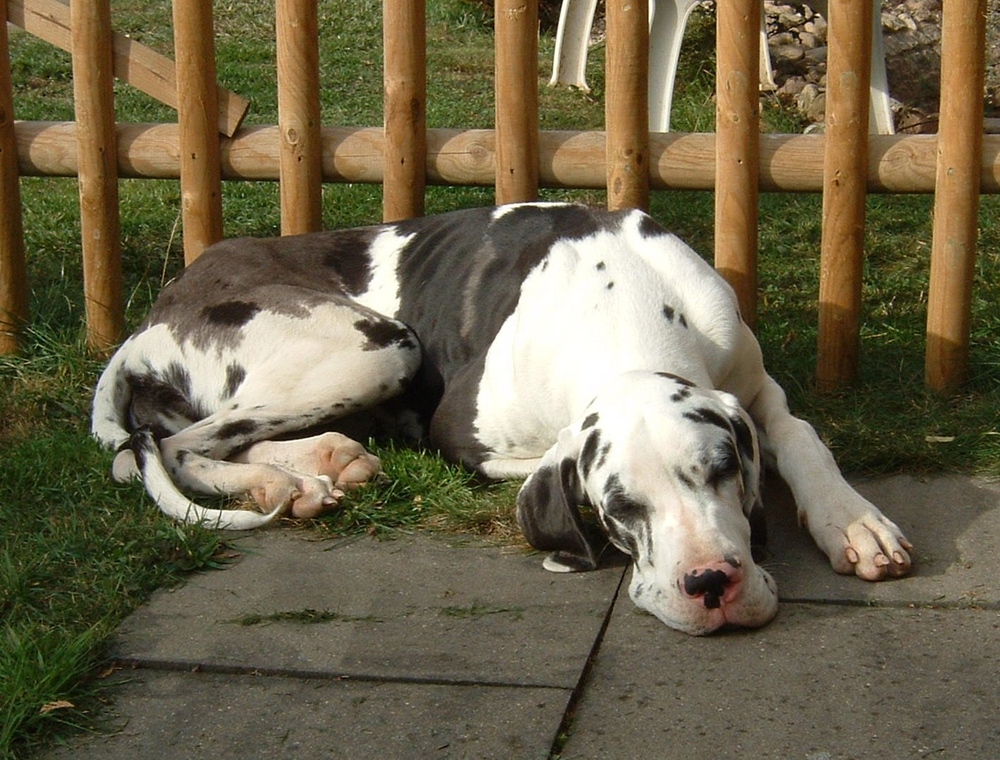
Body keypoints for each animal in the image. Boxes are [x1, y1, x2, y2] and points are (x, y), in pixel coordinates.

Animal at [94, 202, 916, 636]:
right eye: (621, 509)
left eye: (719, 474)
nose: (710, 581)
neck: (622, 302)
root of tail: (158, 310)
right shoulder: (463, 435)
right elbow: (537, 461)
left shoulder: (753, 385)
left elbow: (802, 438)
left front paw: (854, 522)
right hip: (374, 344)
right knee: (178, 444)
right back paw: (282, 482)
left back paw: (324, 461)